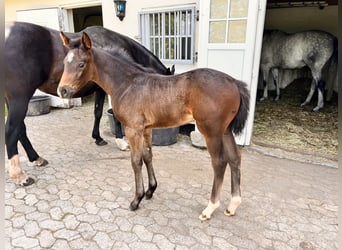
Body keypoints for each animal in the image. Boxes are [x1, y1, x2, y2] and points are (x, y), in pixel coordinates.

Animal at [5, 22, 175, 186]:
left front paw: (98, 138)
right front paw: (120, 142)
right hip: (19, 98)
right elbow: (112, 115)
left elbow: (98, 112)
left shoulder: (100, 90)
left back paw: (36, 158)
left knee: (20, 129)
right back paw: (20, 176)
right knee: (11, 130)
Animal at [57, 32, 250, 221]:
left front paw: (136, 200)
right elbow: (148, 156)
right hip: (225, 130)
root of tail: (234, 82)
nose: (62, 91)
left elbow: (136, 161)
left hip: (211, 131)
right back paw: (233, 205)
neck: (127, 83)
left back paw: (210, 208)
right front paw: (150, 190)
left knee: (219, 162)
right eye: (65, 63)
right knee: (235, 158)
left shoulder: (132, 129)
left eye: (81, 64)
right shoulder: (146, 129)